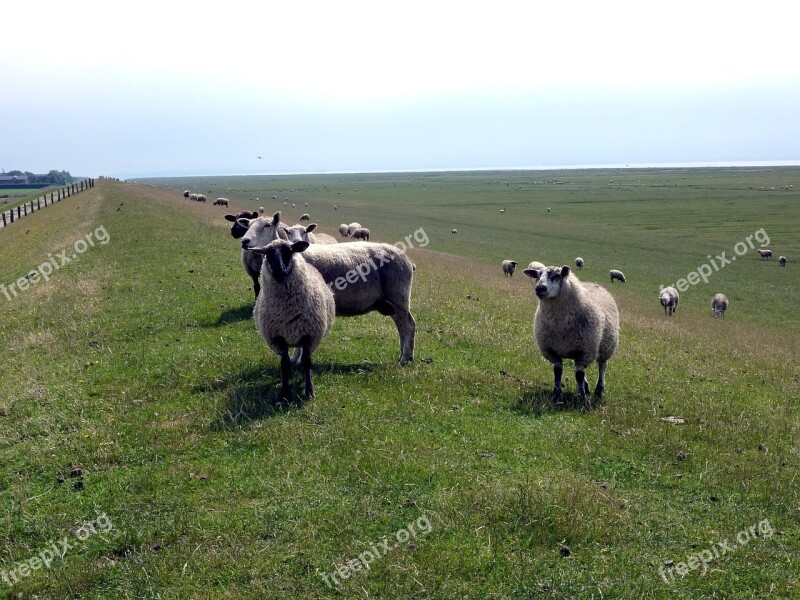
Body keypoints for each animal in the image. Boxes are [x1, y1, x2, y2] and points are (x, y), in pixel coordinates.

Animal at [252, 238, 336, 398]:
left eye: (289, 251)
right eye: (267, 254)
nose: (279, 271)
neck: (287, 311)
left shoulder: (309, 335)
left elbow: (307, 362)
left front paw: (309, 390)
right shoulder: (278, 337)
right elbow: (284, 364)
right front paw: (285, 392)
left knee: (303, 355)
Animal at [524, 266, 620, 404]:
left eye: (557, 276)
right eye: (537, 276)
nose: (540, 288)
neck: (560, 325)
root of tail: (593, 283)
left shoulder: (585, 351)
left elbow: (579, 375)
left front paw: (582, 399)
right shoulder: (552, 351)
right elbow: (558, 372)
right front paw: (557, 395)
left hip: (607, 348)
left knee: (602, 367)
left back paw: (598, 391)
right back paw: (587, 387)